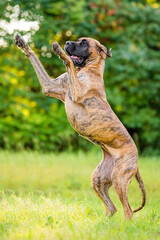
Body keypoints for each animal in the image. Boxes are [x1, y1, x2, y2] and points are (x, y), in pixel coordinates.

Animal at [15, 33, 146, 219]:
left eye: (84, 43)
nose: (67, 42)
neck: (88, 69)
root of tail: (136, 161)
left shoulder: (77, 89)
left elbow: (69, 62)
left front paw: (59, 51)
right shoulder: (49, 86)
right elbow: (35, 59)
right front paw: (23, 43)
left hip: (119, 179)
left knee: (127, 211)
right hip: (98, 179)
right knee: (112, 208)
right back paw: (104, 222)